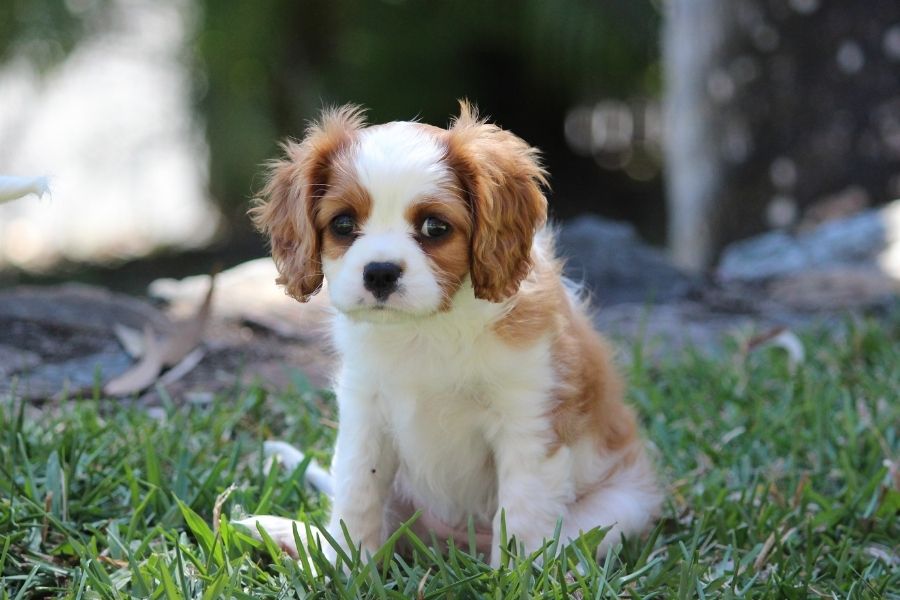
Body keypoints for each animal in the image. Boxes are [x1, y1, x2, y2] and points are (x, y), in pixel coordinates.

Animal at [250, 104, 656, 568]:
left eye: (434, 228)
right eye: (343, 224)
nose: (380, 272)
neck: (427, 326)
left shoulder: (528, 422)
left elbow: (521, 514)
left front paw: (512, 576)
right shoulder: (365, 414)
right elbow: (357, 490)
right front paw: (345, 567)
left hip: (619, 508)